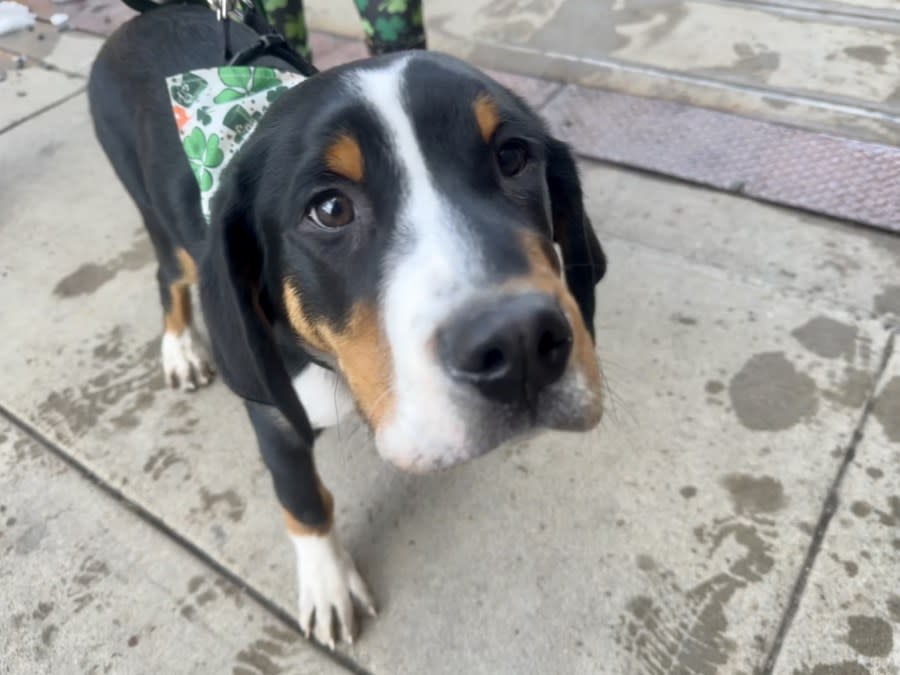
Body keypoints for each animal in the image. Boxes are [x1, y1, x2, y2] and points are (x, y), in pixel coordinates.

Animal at [89, 3, 604, 648]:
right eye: (330, 209)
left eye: (512, 157)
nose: (522, 346)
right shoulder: (273, 415)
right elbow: (304, 500)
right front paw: (328, 584)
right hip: (163, 226)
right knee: (168, 277)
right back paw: (180, 348)